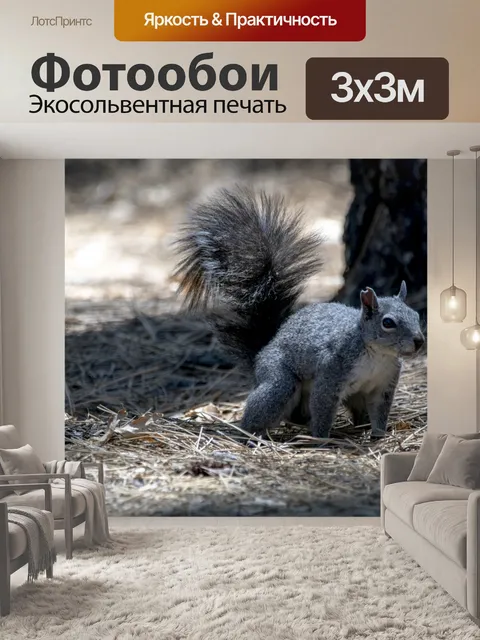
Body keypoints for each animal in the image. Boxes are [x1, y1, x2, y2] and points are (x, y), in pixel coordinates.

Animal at [174, 187, 425, 440]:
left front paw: (379, 435)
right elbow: (323, 407)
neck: (377, 355)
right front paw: (322, 440)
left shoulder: (383, 385)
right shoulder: (331, 372)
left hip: (353, 396)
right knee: (264, 408)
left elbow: (380, 413)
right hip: (279, 383)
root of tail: (262, 351)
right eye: (388, 323)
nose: (419, 341)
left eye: (416, 316)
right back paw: (252, 434)